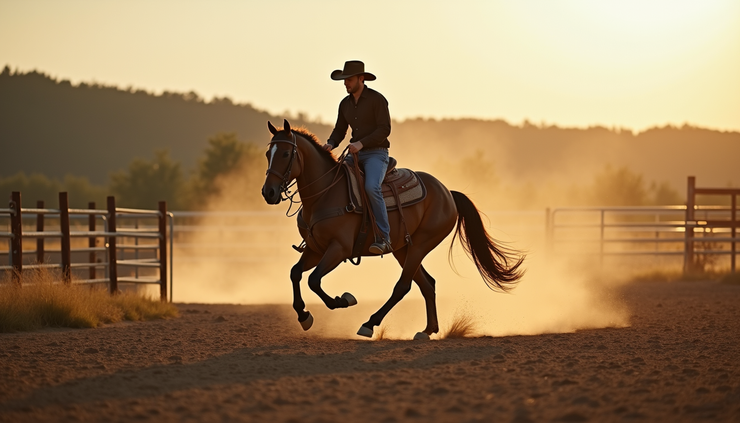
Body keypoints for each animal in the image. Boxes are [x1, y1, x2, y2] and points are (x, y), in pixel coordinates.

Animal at [261, 119, 524, 339]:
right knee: (427, 284)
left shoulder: (338, 249)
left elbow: (314, 280)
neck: (325, 194)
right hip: (403, 249)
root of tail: (447, 192)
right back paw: (427, 331)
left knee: (403, 286)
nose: (269, 192)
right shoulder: (316, 249)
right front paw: (304, 316)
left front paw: (343, 300)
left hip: (421, 245)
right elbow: (296, 273)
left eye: (286, 153)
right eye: (267, 153)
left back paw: (369, 324)